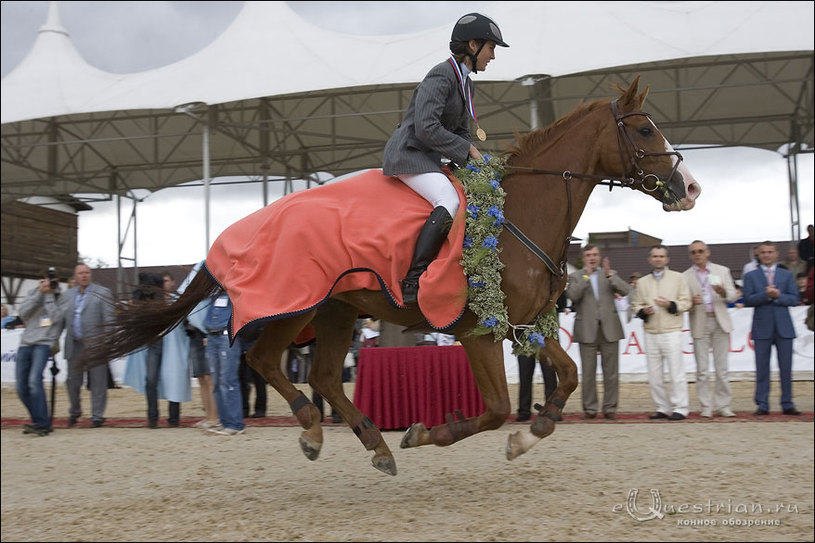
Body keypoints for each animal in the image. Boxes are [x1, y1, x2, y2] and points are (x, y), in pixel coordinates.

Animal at [84, 76, 700, 476]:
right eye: (645, 130)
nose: (690, 187)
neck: (517, 216)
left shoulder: (527, 323)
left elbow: (567, 378)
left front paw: (528, 436)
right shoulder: (480, 332)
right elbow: (495, 409)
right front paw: (430, 431)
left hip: (337, 312)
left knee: (324, 375)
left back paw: (371, 443)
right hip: (300, 306)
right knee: (265, 360)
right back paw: (313, 428)